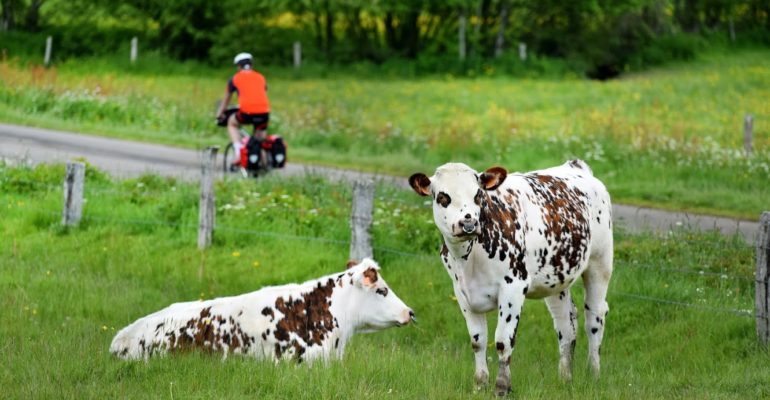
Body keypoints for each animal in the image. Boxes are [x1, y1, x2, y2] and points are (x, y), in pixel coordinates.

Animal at [408, 161, 612, 396]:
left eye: (478, 194)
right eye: (443, 197)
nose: (468, 223)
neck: (469, 257)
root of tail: (576, 166)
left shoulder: (514, 286)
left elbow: (503, 341)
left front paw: (502, 386)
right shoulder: (461, 292)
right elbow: (478, 340)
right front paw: (480, 383)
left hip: (600, 263)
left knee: (595, 318)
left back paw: (594, 374)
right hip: (556, 279)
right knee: (566, 325)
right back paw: (565, 378)